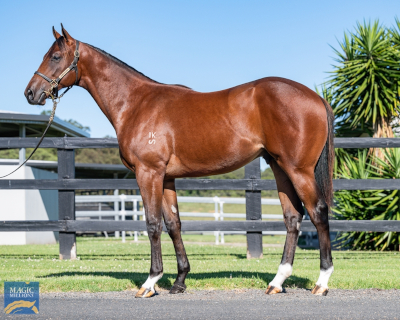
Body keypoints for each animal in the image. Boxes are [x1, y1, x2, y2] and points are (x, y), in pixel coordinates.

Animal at [23, 26, 332, 298]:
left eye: (55, 56)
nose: (30, 93)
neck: (136, 103)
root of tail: (316, 97)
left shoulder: (148, 173)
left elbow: (152, 224)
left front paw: (150, 282)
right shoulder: (167, 177)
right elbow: (173, 224)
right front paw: (180, 281)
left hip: (298, 170)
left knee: (318, 212)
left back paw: (322, 282)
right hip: (279, 167)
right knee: (293, 217)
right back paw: (277, 282)